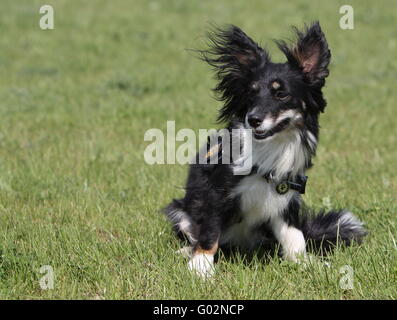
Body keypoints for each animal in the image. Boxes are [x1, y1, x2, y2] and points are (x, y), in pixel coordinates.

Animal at [162, 21, 366, 278]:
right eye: (251, 92)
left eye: (282, 93)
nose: (253, 119)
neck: (273, 144)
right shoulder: (216, 194)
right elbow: (209, 233)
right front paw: (201, 268)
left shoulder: (286, 197)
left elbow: (295, 237)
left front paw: (306, 263)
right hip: (179, 210)